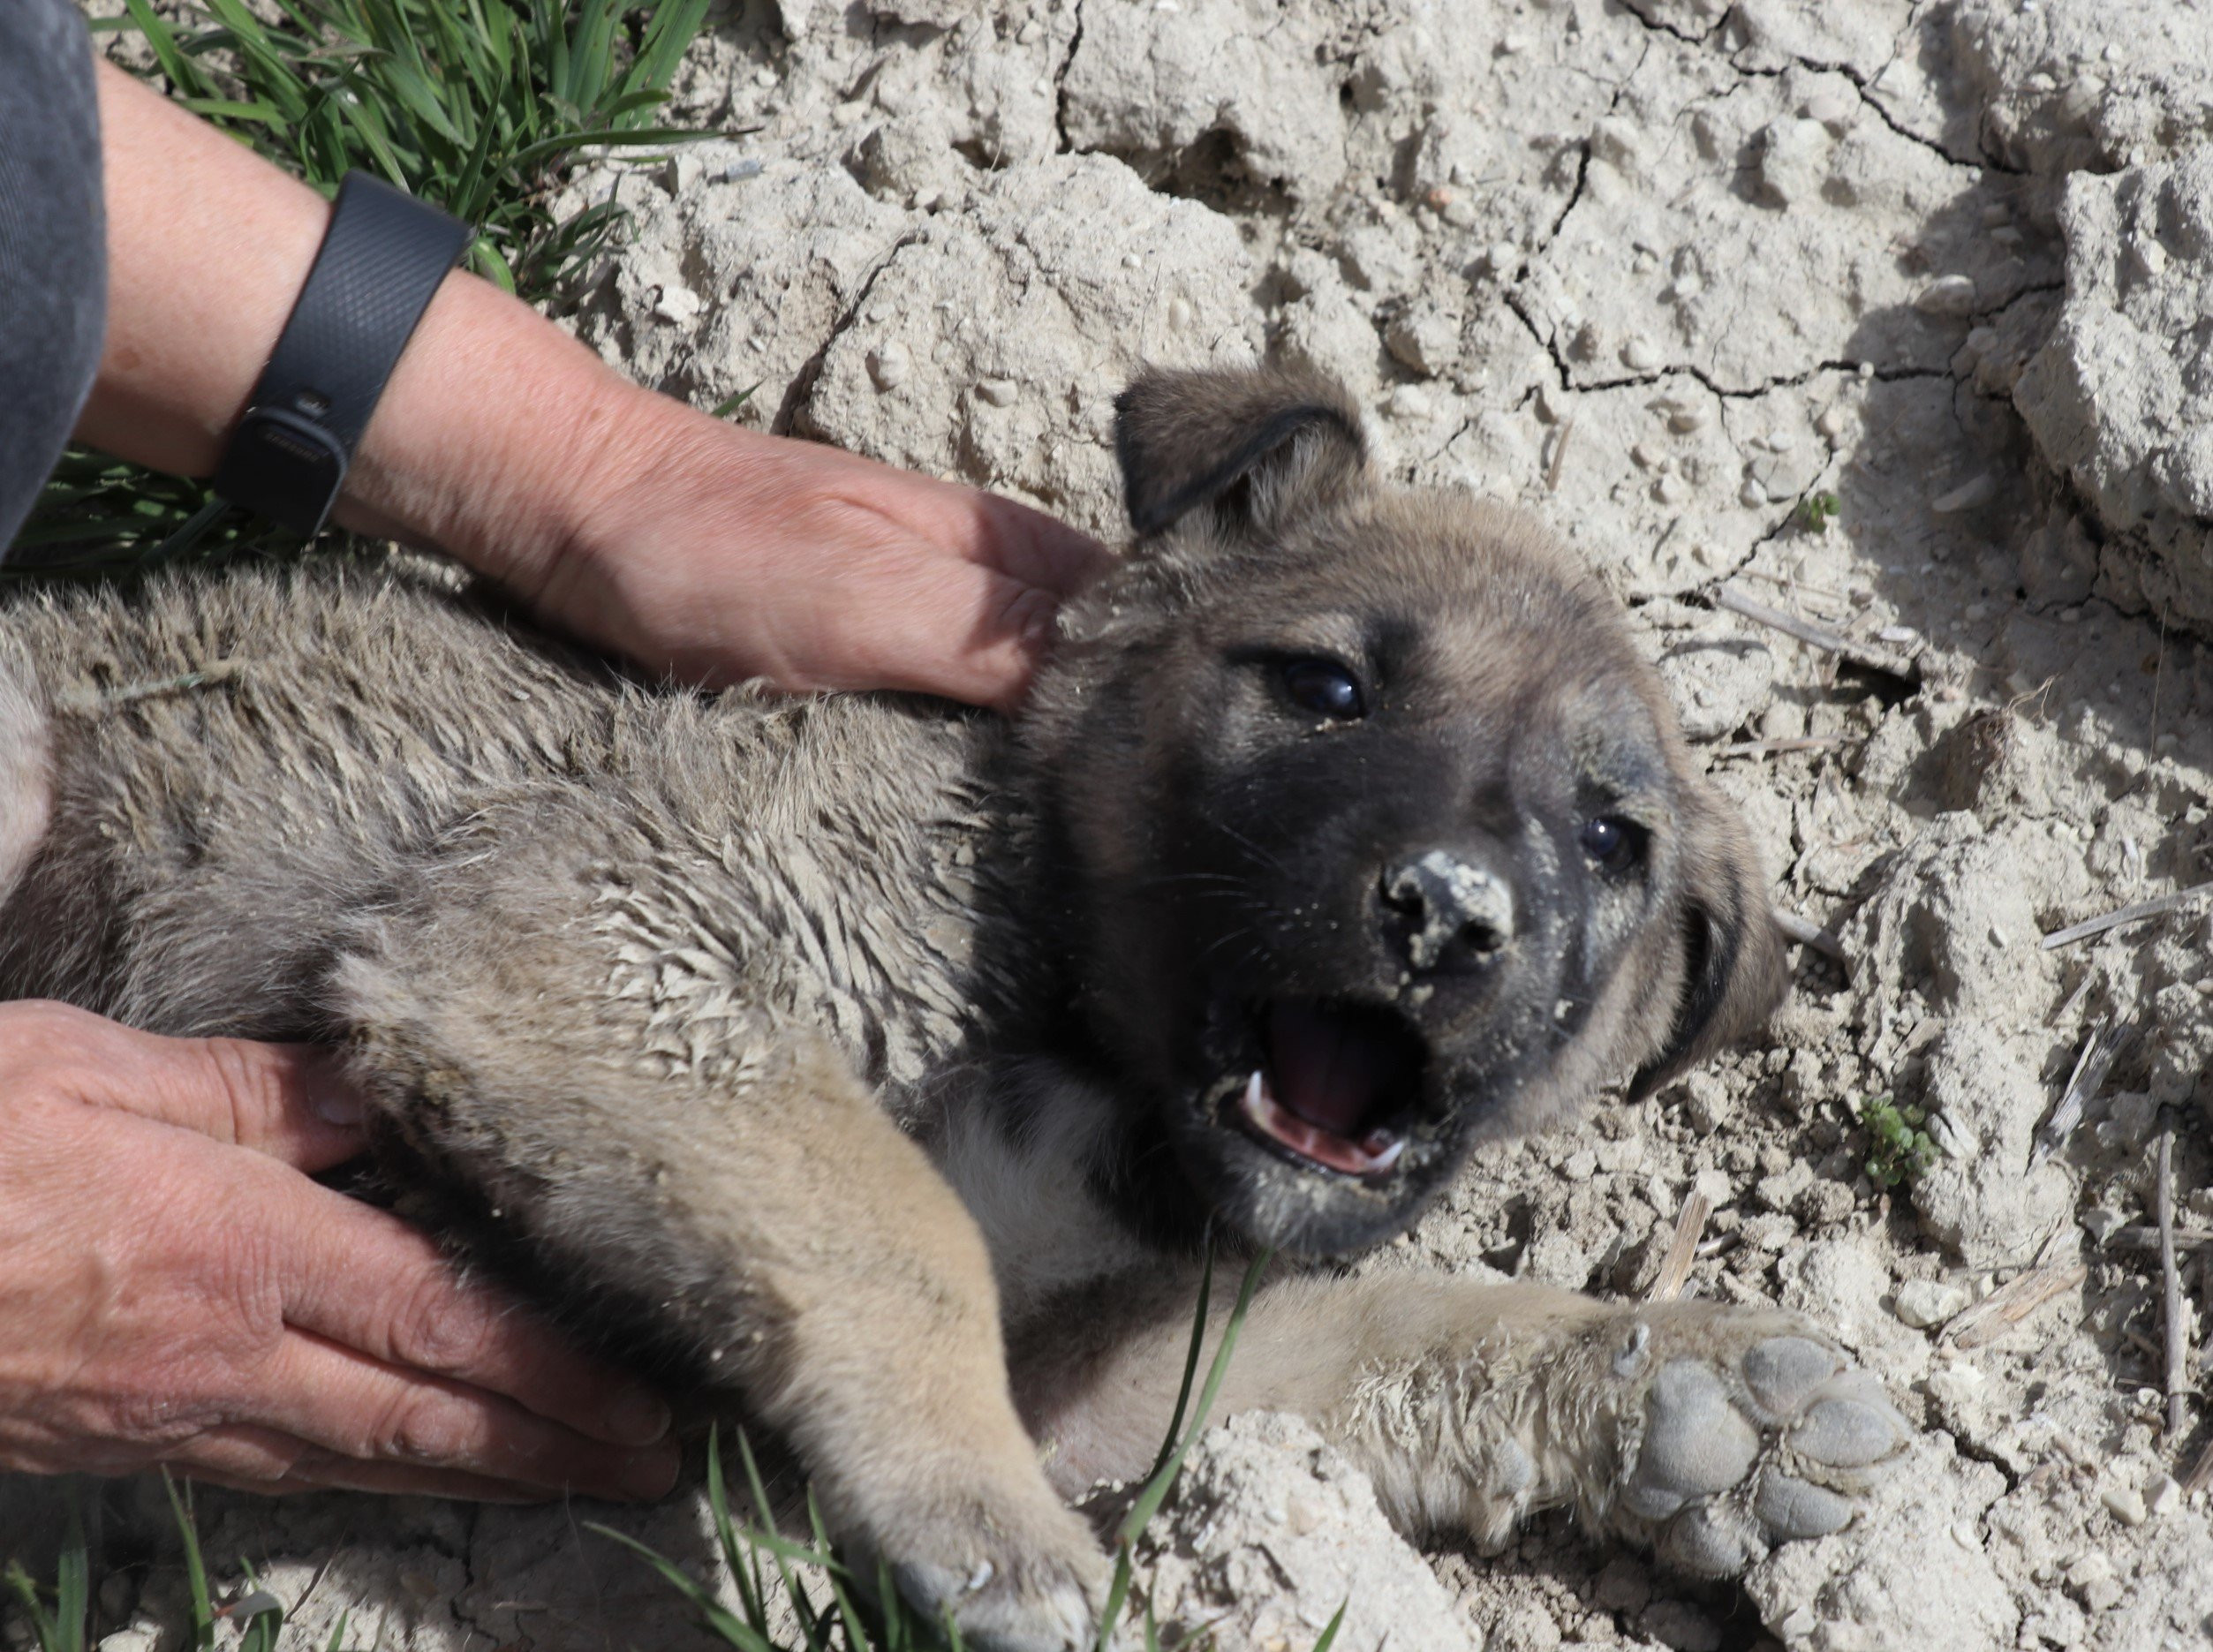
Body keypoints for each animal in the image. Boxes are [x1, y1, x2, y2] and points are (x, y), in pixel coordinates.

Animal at [0, 365, 1903, 1652]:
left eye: (1610, 839)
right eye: (1326, 685)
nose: (1449, 917)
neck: (1096, 1058)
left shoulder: (1101, 1357)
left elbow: (1371, 1326)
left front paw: (1680, 1383)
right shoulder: (597, 927)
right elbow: (890, 1218)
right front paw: (991, 1533)